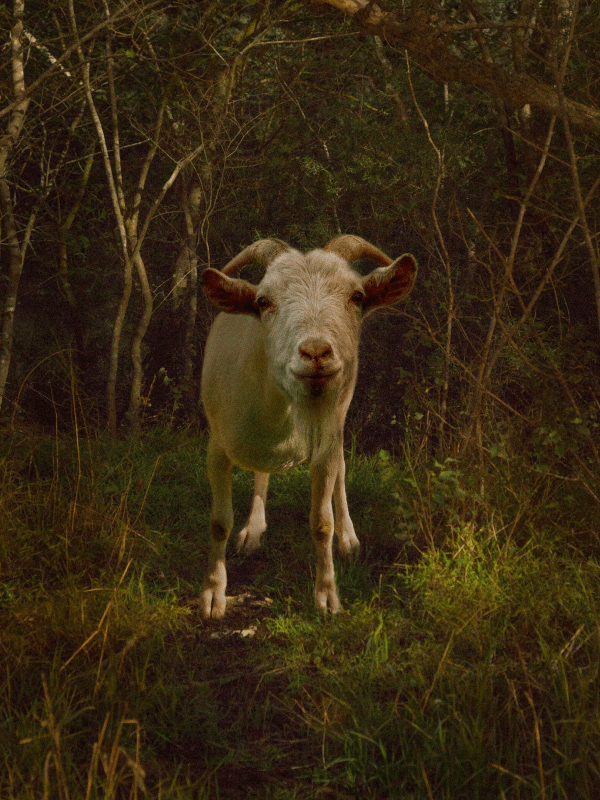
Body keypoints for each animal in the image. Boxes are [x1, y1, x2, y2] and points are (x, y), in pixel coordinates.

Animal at [200, 235, 417, 619]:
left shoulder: (325, 446)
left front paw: (327, 597)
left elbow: (321, 522)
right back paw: (253, 530)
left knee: (342, 469)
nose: (316, 352)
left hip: (341, 410)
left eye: (357, 296)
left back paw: (349, 539)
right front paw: (213, 595)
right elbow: (219, 522)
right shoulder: (217, 448)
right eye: (263, 301)